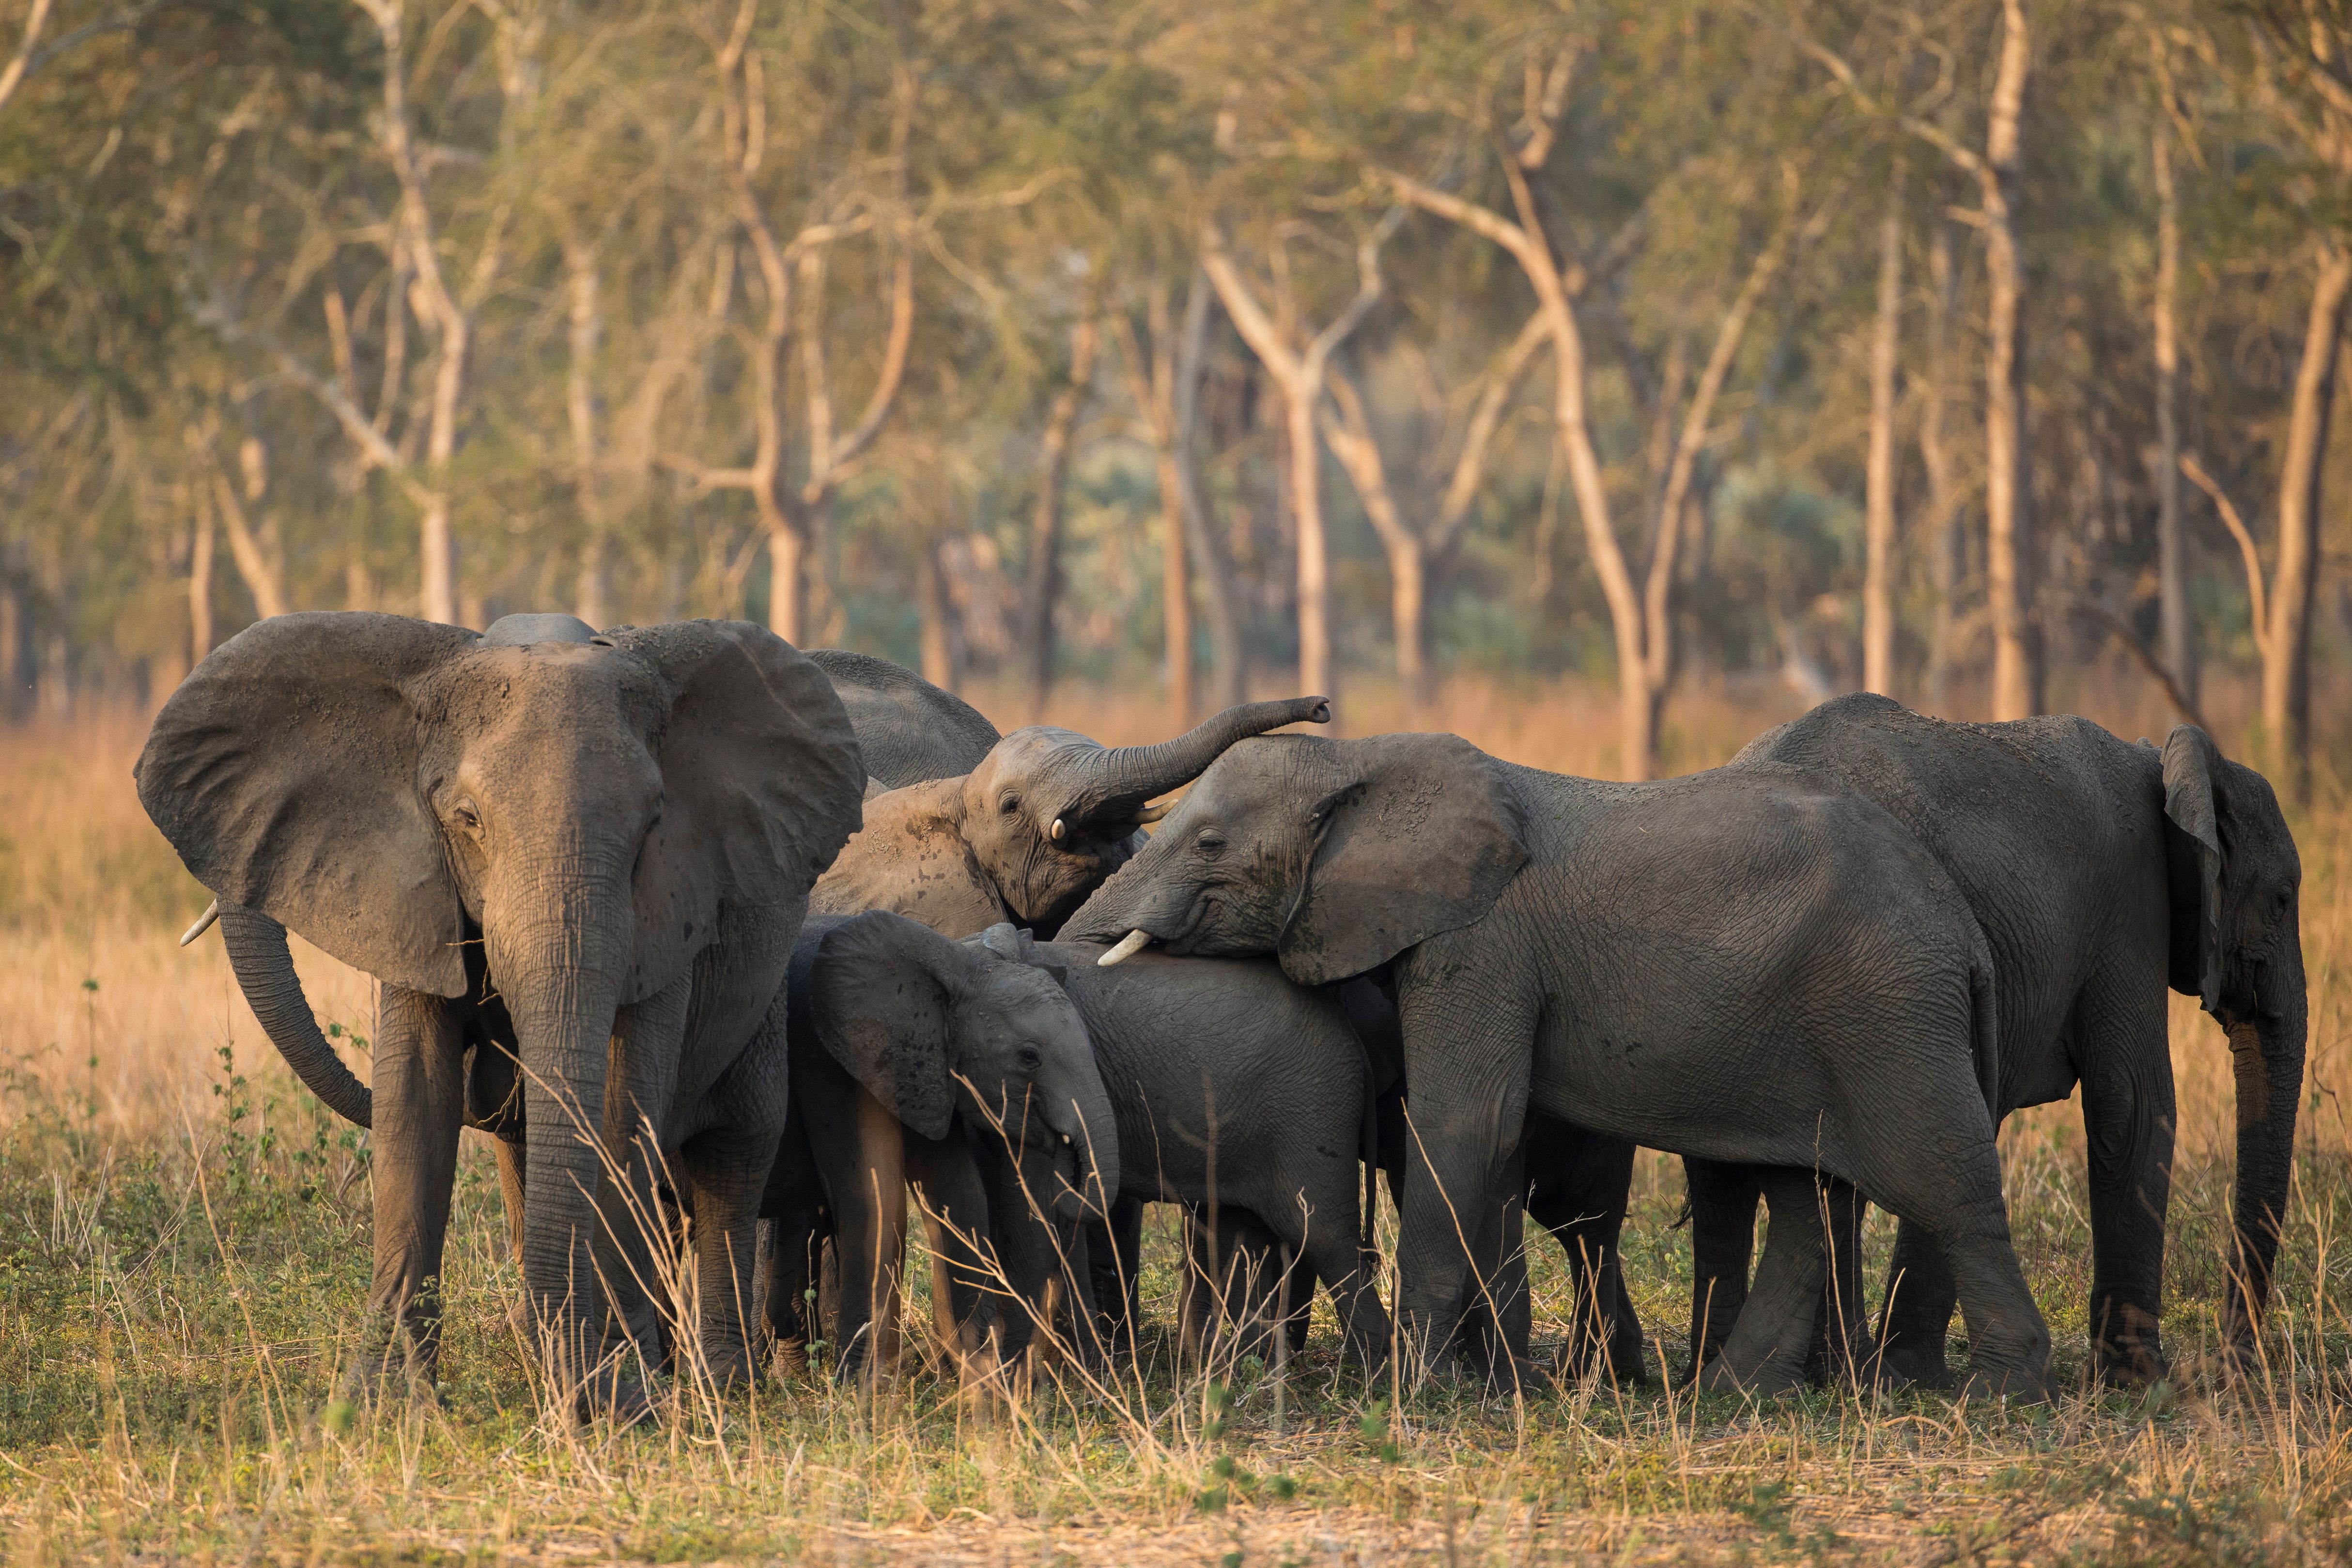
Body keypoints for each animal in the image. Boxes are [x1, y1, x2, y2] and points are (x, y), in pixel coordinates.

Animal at [138, 611, 864, 1408]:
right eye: (467, 820)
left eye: (652, 825)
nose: (584, 1394)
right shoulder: (417, 889)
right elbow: (413, 1098)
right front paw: (383, 1405)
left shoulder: (670, 912)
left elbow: (624, 1105)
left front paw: (620, 1396)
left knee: (731, 1161)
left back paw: (715, 1384)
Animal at [760, 911, 1117, 1381]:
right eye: (1029, 1056)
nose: (1064, 1145)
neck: (957, 961)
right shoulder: (827, 1063)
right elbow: (872, 1195)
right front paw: (857, 1387)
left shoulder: (926, 1069)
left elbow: (957, 1189)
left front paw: (980, 1375)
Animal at [1064, 731, 2056, 1399]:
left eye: (1208, 845)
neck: (1361, 760)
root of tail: (1962, 928)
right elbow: (1490, 1144)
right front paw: (1492, 1384)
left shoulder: (1482, 944)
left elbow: (1464, 1121)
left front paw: (1420, 1388)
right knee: (1807, 1197)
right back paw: (1731, 1395)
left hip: (1888, 1012)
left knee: (1944, 1182)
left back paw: (2004, 1393)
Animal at [1678, 697, 2306, 1386]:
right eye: (2281, 900)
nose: (2231, 1369)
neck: (2161, 761)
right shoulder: (2130, 903)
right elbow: (2132, 1104)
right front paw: (2138, 1384)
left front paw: (1914, 1375)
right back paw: (1846, 1371)